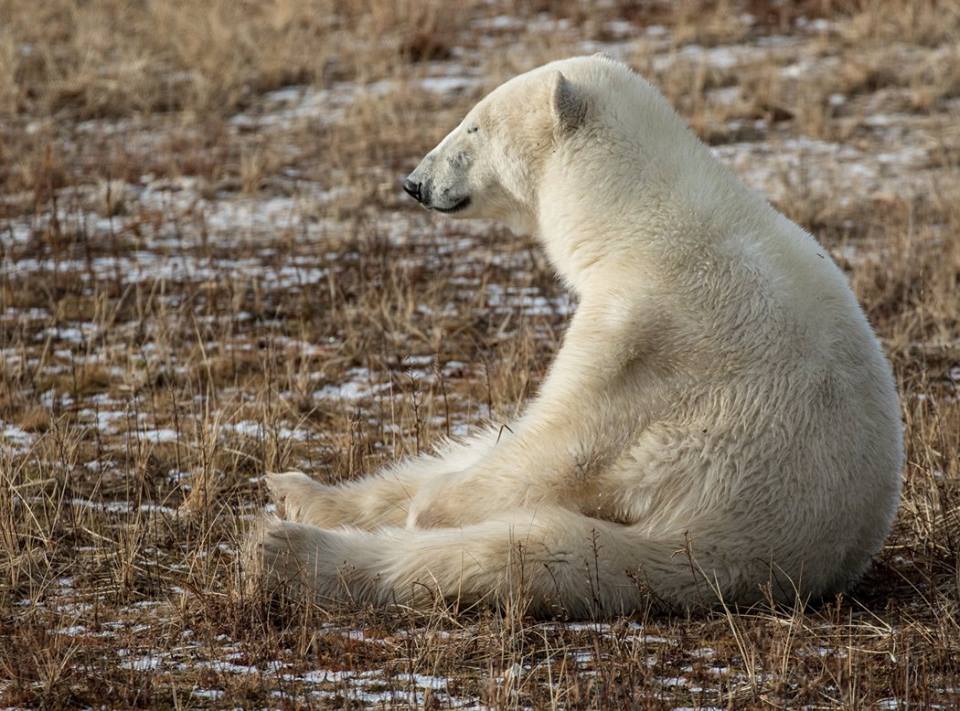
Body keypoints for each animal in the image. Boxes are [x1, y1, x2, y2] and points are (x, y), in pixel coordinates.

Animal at [251, 55, 903, 617]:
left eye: (474, 125)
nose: (414, 183)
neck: (639, 218)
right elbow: (518, 437)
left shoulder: (650, 331)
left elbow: (569, 441)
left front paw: (428, 509)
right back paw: (300, 492)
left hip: (700, 546)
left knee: (523, 554)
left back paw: (287, 551)